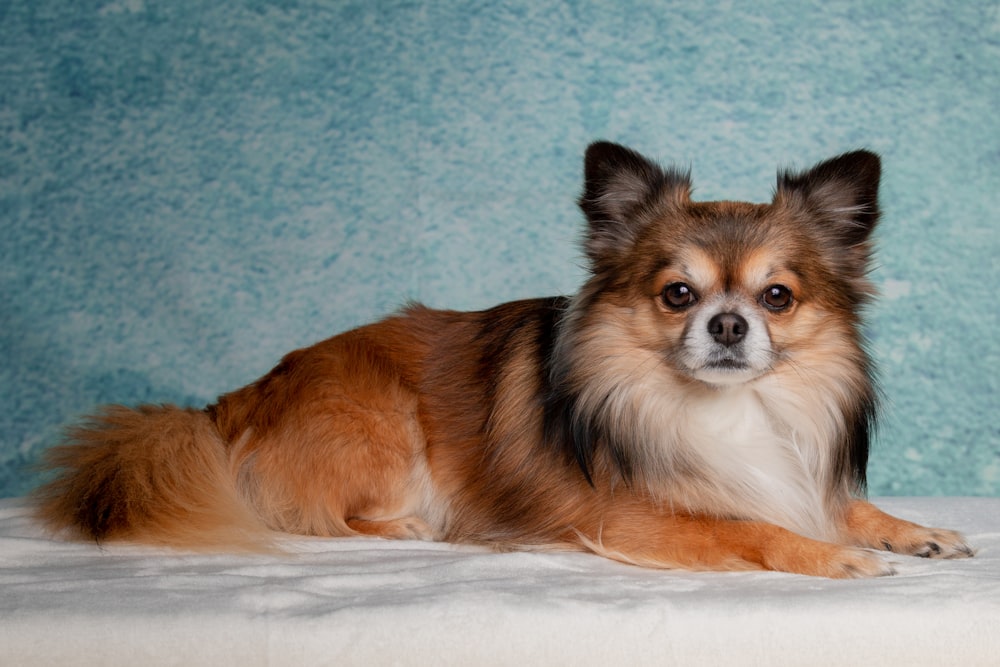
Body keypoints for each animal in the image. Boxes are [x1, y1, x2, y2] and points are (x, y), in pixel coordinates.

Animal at [35, 142, 972, 580]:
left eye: (777, 296)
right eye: (677, 293)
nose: (730, 323)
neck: (725, 410)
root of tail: (226, 403)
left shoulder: (788, 471)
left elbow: (839, 504)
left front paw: (911, 529)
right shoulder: (629, 517)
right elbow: (745, 527)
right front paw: (833, 556)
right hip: (381, 426)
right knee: (312, 512)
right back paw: (411, 526)